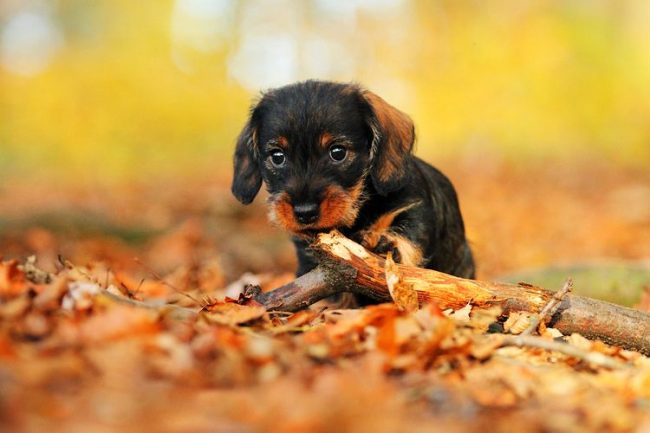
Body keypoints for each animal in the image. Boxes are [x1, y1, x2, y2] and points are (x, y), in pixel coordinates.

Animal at [230, 80, 474, 280]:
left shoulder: (414, 207)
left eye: (338, 152)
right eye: (277, 157)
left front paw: (388, 244)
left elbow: (409, 236)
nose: (305, 212)